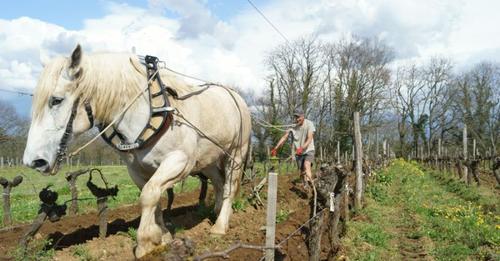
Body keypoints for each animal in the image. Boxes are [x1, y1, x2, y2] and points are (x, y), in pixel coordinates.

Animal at [22, 44, 252, 256]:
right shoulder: (136, 169)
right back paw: (215, 212)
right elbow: (153, 198)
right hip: (209, 160)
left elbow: (149, 195)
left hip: (236, 154)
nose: (34, 161)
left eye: (56, 100)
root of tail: (236, 96)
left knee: (230, 185)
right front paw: (162, 237)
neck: (149, 112)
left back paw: (219, 226)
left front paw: (145, 242)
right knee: (218, 182)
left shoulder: (180, 161)